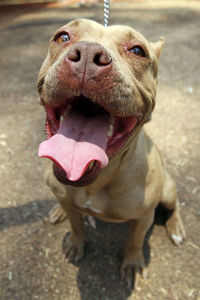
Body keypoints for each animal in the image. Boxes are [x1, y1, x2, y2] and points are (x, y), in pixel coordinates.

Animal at [37, 19, 186, 288]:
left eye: (138, 50)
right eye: (63, 37)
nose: (88, 54)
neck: (97, 181)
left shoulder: (143, 218)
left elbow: (135, 242)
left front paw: (133, 262)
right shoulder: (70, 203)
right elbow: (76, 224)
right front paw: (76, 243)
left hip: (168, 190)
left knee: (175, 203)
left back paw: (176, 227)